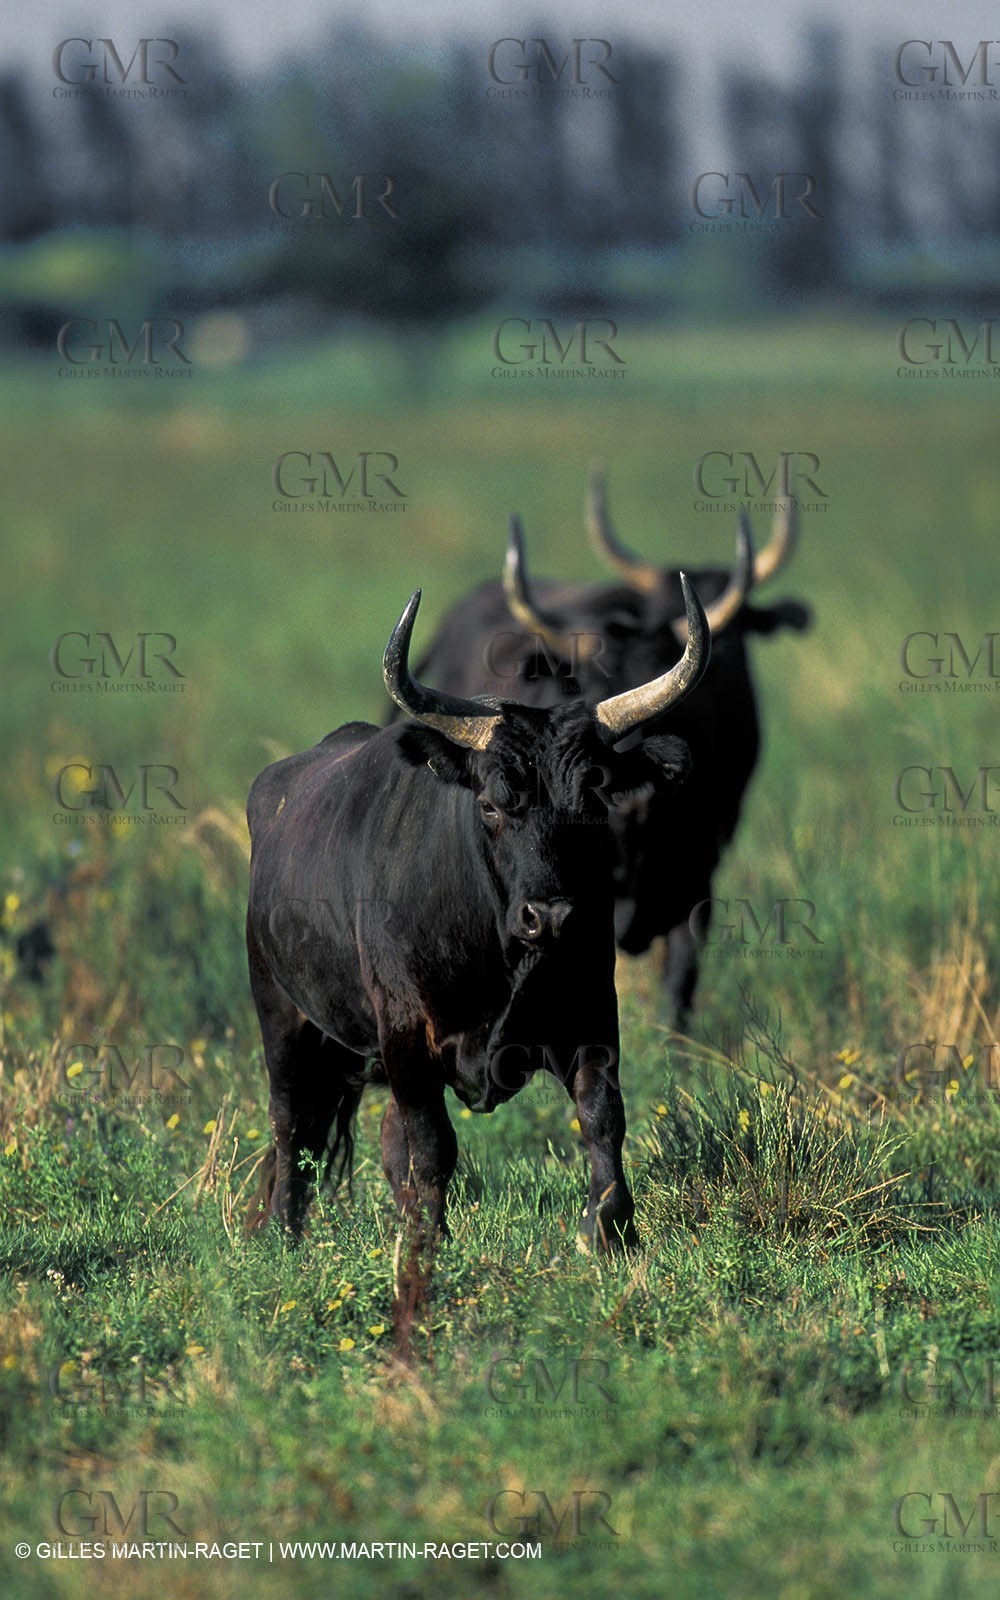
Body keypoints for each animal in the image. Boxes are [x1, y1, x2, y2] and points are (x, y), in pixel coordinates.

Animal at [245, 583, 709, 1335]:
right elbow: (434, 1150)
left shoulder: (589, 1022)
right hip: (284, 1020)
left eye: (593, 798)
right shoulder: (409, 1038)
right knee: (294, 1135)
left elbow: (603, 1119)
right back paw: (285, 1236)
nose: (551, 917)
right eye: (492, 804)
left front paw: (612, 1235)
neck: (497, 954)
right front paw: (422, 1260)